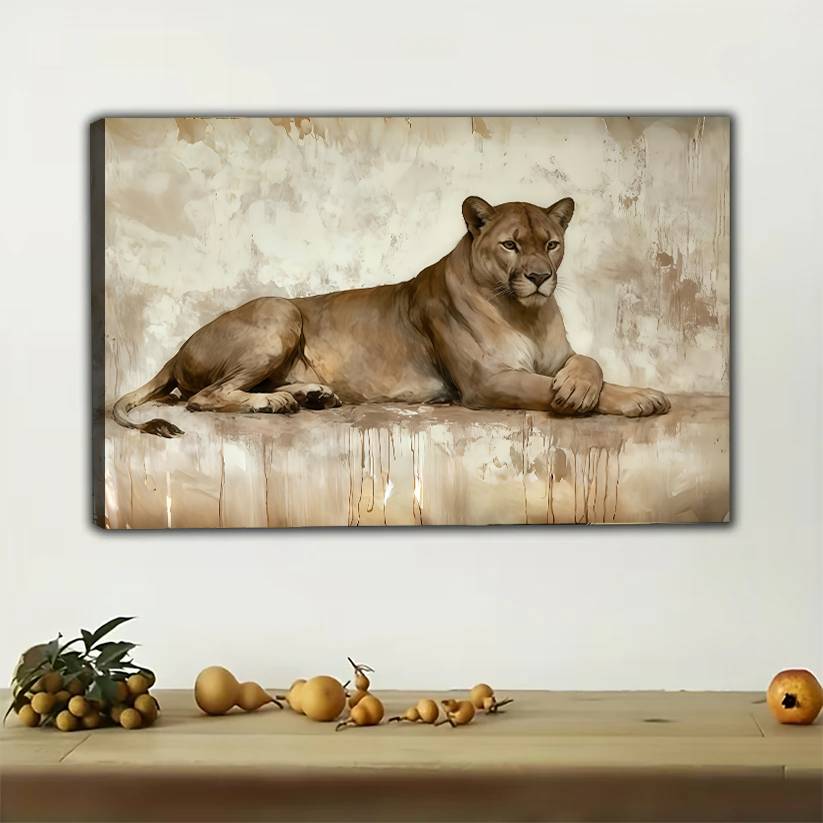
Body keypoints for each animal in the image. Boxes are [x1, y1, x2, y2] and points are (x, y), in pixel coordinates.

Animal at [113, 196, 670, 437]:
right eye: (511, 245)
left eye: (551, 244)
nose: (539, 278)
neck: (524, 313)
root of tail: (176, 351)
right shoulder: (485, 383)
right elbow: (564, 387)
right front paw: (640, 398)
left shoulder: (556, 358)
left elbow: (590, 363)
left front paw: (584, 386)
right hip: (280, 310)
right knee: (204, 398)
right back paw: (274, 404)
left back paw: (308, 396)